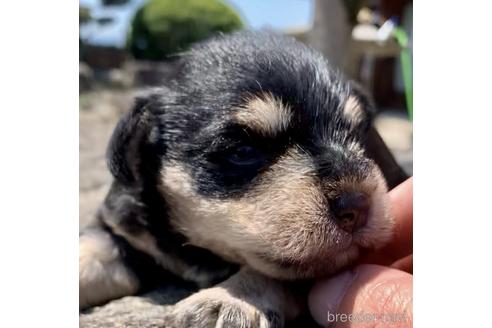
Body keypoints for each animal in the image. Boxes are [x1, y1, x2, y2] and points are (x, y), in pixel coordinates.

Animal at [80, 31, 408, 328]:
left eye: (358, 138)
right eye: (243, 151)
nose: (357, 205)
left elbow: (272, 271)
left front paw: (229, 300)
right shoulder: (122, 229)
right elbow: (93, 248)